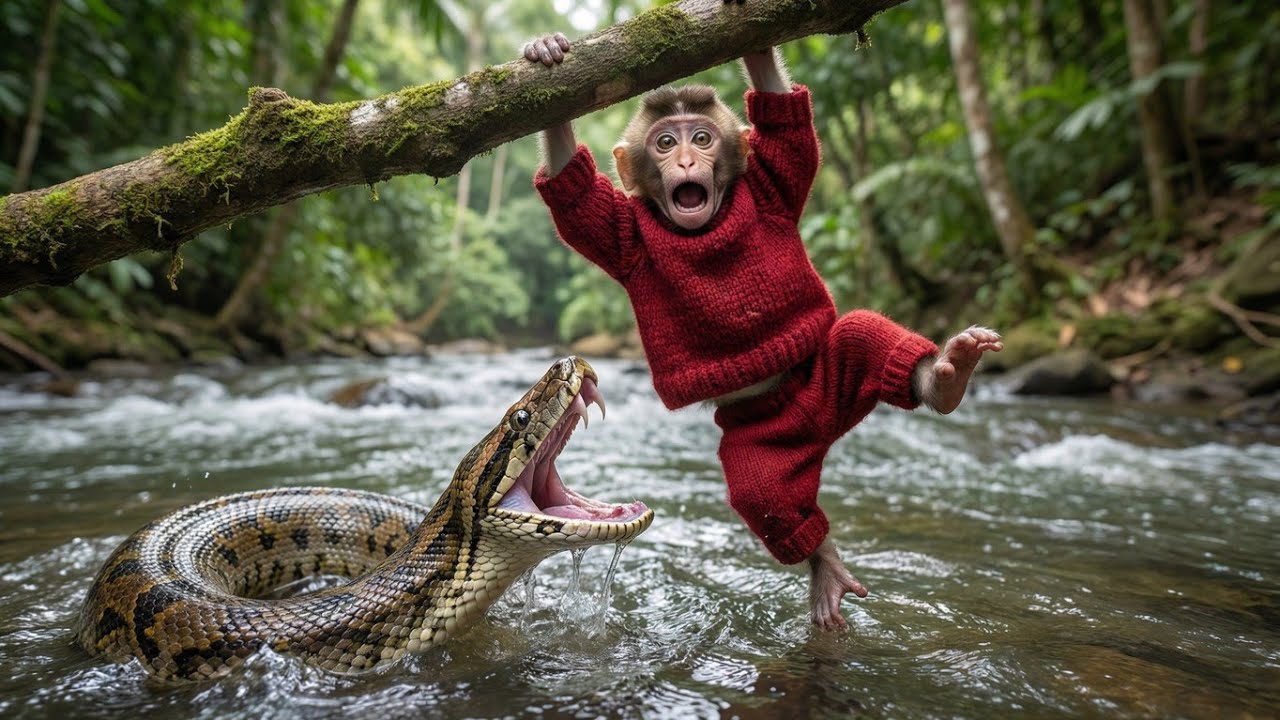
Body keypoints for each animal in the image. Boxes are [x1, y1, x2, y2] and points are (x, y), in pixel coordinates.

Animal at [523, 30, 1002, 631]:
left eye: (702, 138)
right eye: (665, 143)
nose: (686, 159)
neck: (704, 228)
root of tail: (820, 429)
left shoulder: (771, 191)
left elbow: (787, 135)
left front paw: (757, 48)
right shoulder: (626, 237)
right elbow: (578, 197)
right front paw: (545, 52)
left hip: (828, 374)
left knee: (862, 337)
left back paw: (945, 376)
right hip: (756, 437)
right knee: (763, 495)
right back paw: (822, 562)